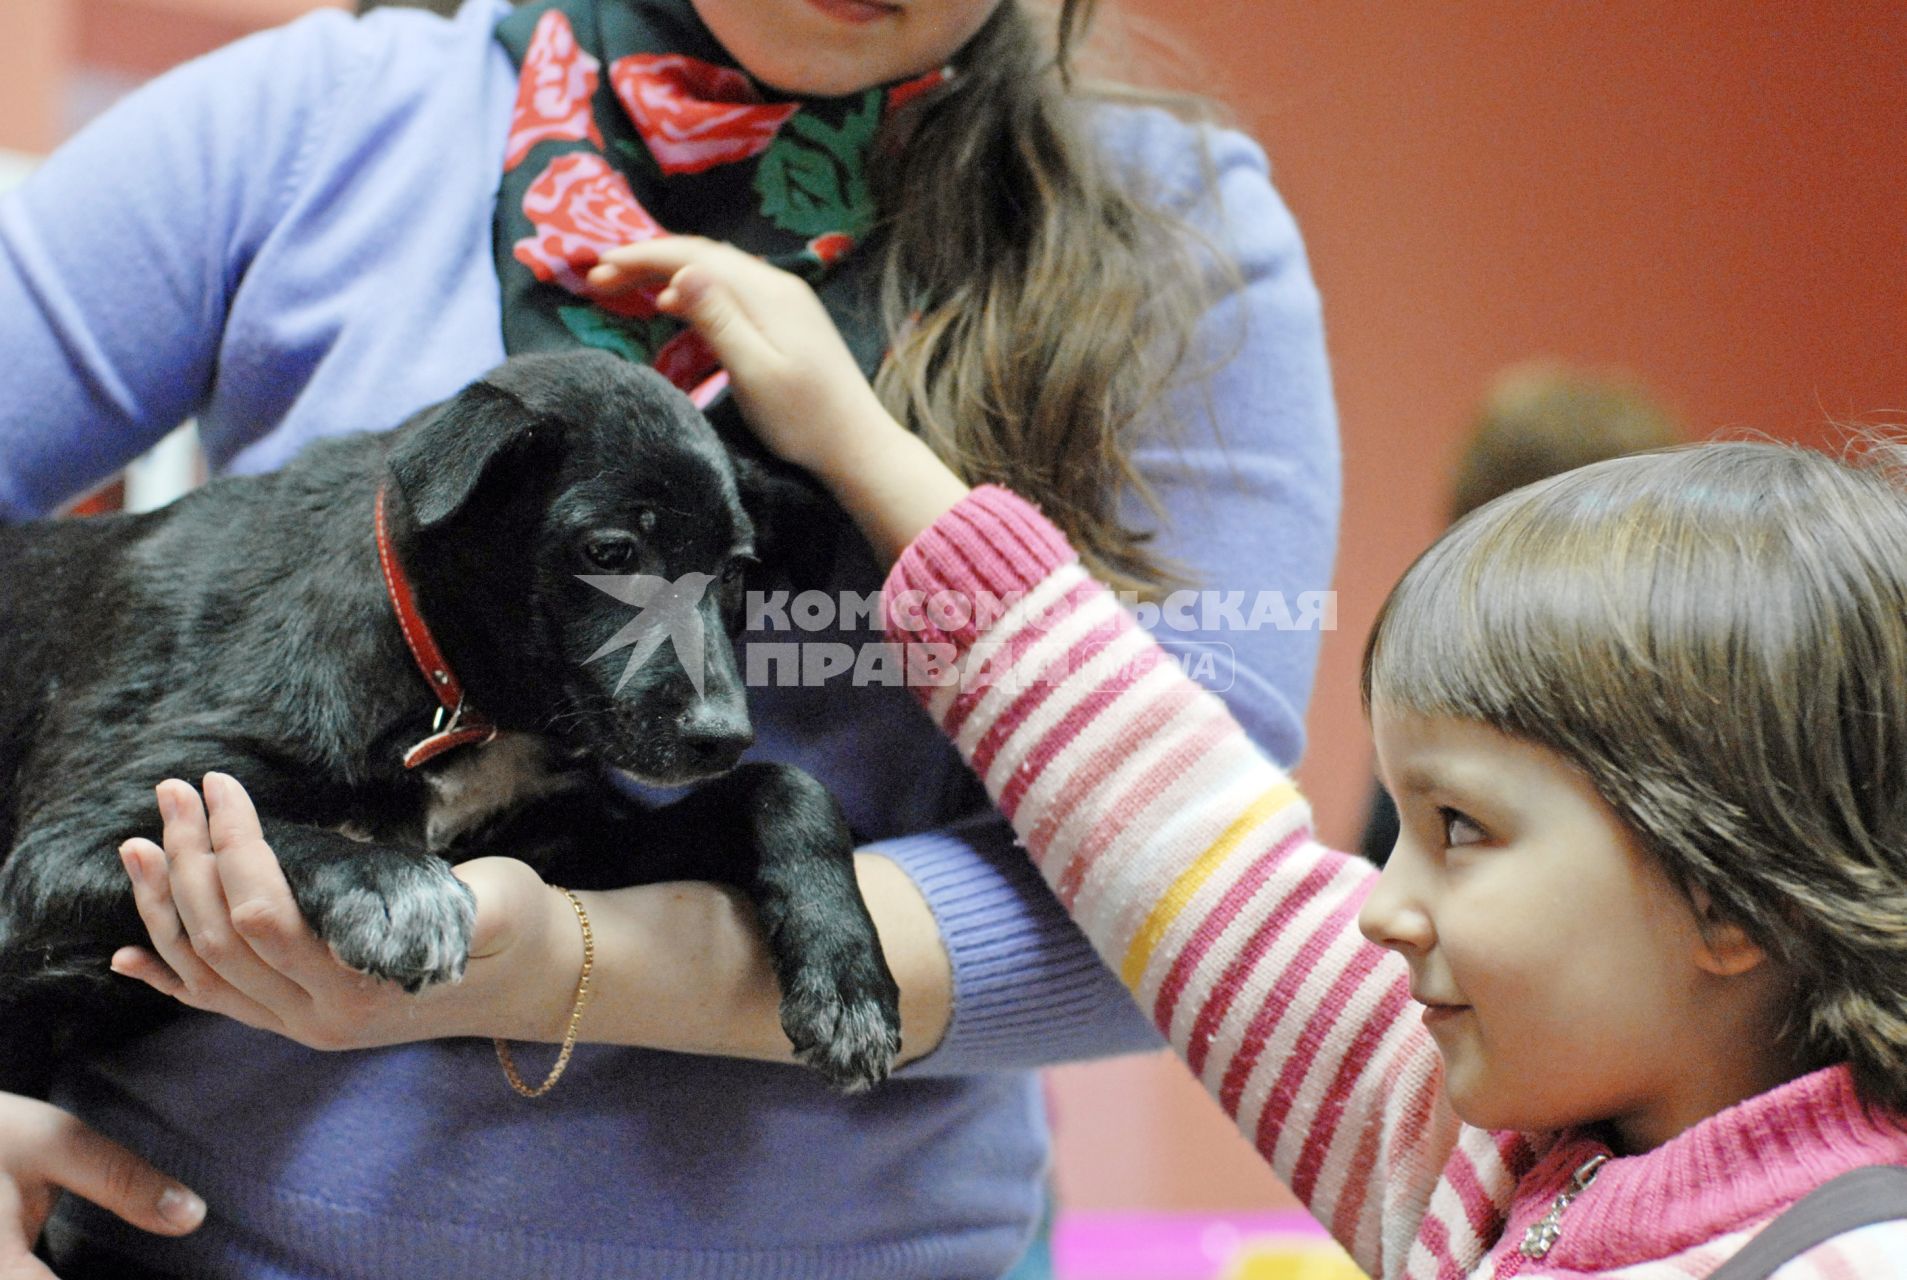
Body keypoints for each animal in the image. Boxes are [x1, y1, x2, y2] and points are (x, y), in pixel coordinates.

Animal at [0, 347, 903, 1091]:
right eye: (611, 552)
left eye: (737, 572)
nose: (722, 737)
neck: (459, 694)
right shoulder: (52, 856)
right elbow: (268, 832)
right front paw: (390, 882)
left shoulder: (558, 844)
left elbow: (784, 787)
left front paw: (848, 979)